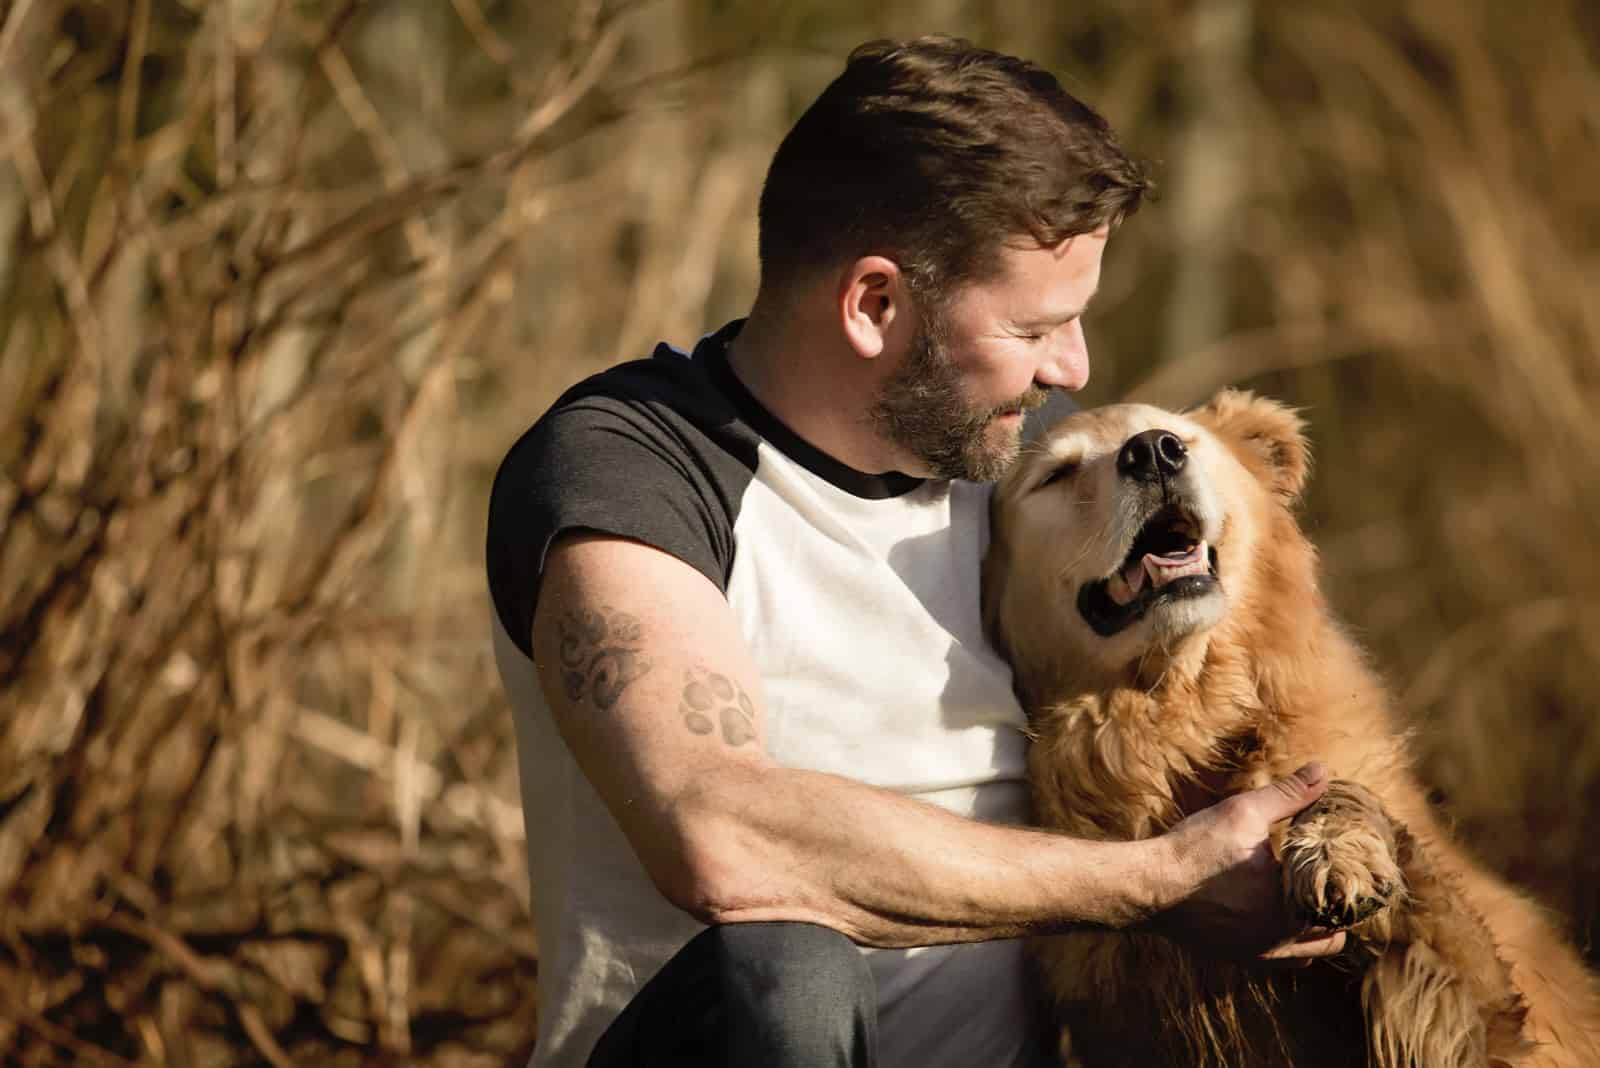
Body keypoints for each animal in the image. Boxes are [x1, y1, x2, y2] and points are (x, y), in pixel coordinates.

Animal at [985, 391, 1600, 1068]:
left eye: (1179, 437)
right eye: (1057, 474)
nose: (1152, 452)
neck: (1180, 712)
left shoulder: (1487, 1017)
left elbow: (1357, 807)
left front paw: (1340, 858)